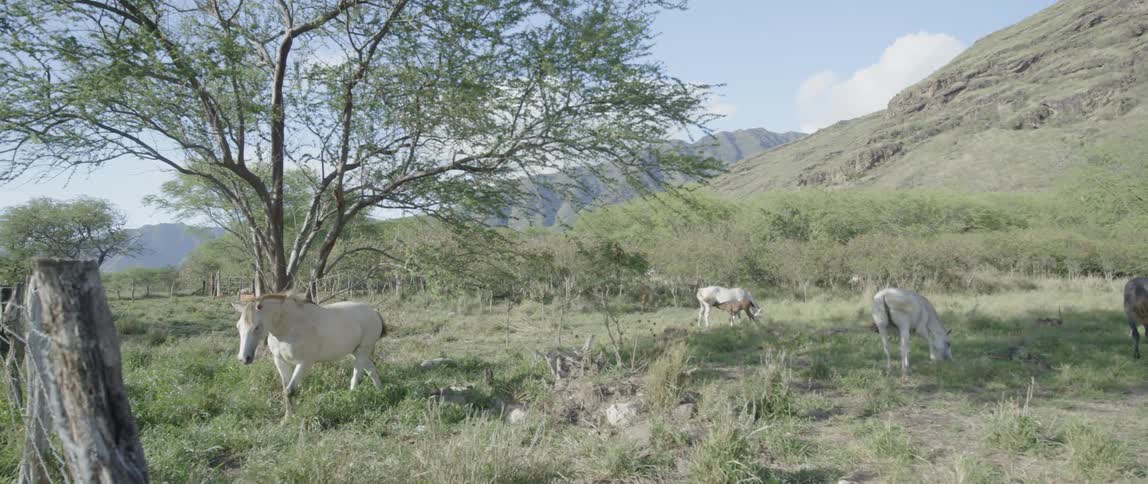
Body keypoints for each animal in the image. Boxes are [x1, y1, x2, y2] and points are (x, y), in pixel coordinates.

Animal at [232, 293, 387, 417]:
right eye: (238, 326)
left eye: (257, 327)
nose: (244, 358)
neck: (289, 327)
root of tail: (374, 312)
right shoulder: (281, 362)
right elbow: (285, 389)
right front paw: (287, 418)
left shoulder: (304, 363)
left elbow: (290, 390)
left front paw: (290, 418)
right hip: (357, 352)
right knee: (371, 370)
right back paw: (380, 392)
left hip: (362, 351)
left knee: (357, 375)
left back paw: (352, 397)